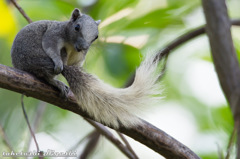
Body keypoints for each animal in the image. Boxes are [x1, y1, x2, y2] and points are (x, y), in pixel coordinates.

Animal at [10, 8, 162, 128]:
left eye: (96, 36)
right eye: (77, 27)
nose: (83, 47)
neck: (72, 45)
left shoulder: (79, 58)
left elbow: (75, 66)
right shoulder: (53, 35)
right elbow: (51, 48)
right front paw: (58, 64)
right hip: (36, 58)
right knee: (45, 74)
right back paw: (56, 81)